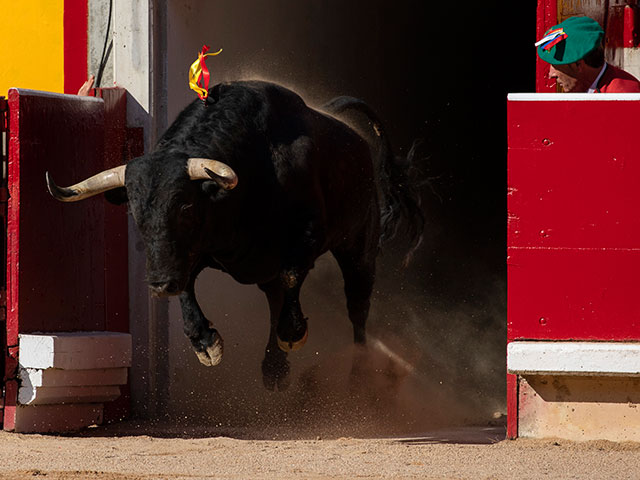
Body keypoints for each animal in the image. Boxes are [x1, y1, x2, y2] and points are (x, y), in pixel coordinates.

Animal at [46, 81, 424, 390]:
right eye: (136, 213)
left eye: (185, 207)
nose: (159, 285)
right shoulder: (199, 253)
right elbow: (189, 285)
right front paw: (206, 343)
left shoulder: (308, 234)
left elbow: (292, 276)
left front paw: (294, 332)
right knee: (276, 297)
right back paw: (275, 367)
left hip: (358, 247)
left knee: (357, 307)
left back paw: (358, 375)